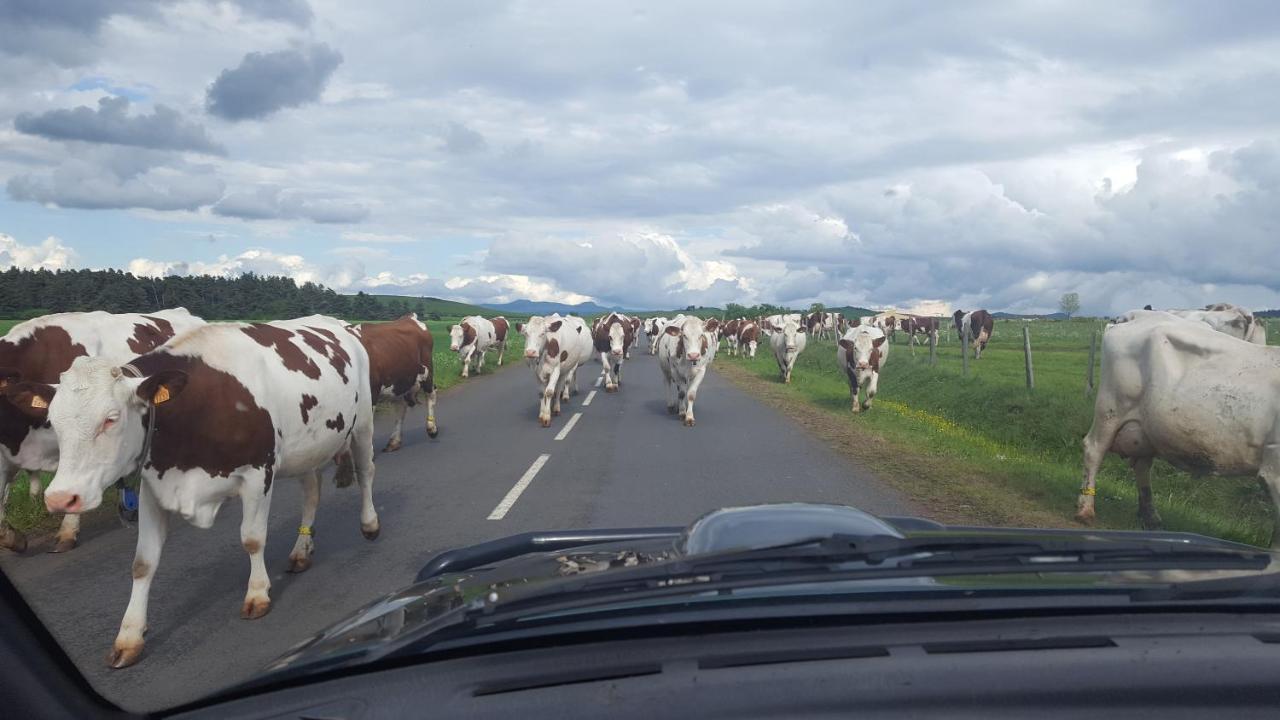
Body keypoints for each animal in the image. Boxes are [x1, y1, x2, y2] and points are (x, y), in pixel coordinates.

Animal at [350, 312, 440, 448]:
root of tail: (409, 317)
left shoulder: (372, 393)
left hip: (427, 371)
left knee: (431, 394)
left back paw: (431, 429)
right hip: (400, 382)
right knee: (400, 407)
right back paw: (394, 440)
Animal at [1080, 312, 1280, 543]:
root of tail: (1132, 317)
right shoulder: (1274, 470)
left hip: (1145, 427)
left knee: (1142, 464)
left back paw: (1150, 516)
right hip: (1111, 409)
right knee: (1094, 450)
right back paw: (1085, 510)